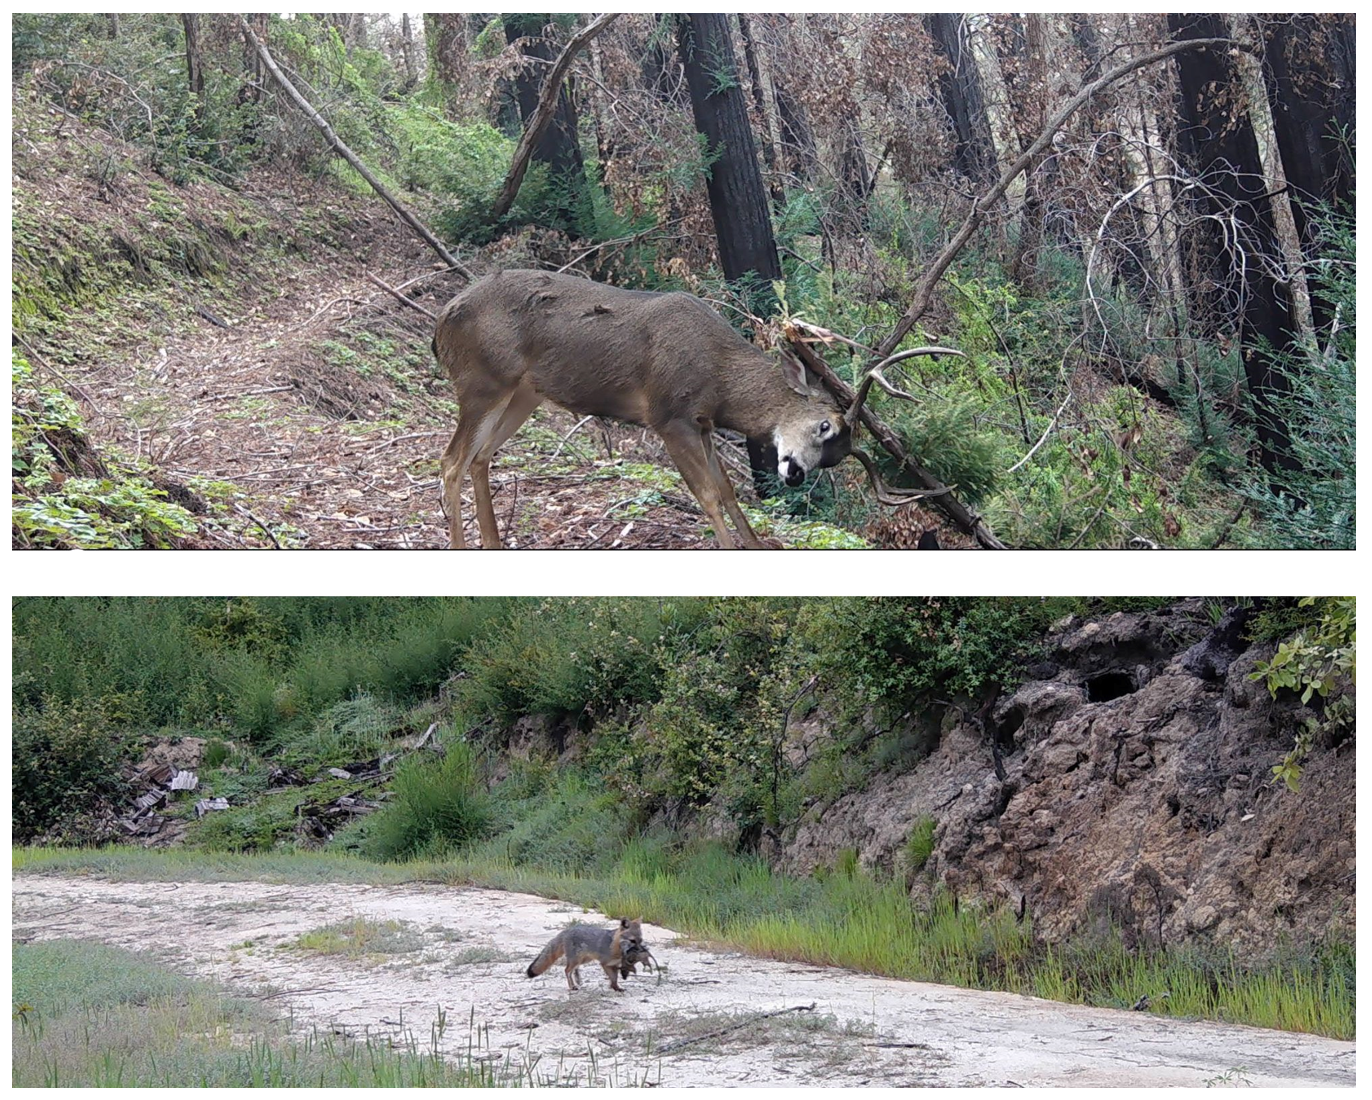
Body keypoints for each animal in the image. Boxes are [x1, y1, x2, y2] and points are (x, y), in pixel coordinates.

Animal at [428, 267, 954, 545]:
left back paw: (493, 544)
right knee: (451, 459)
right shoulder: (669, 415)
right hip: (482, 381)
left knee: (479, 457)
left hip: (523, 393)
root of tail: (442, 318)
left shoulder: (701, 423)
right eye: (825, 426)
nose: (795, 473)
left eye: (835, 459)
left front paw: (757, 548)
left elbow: (727, 490)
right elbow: (706, 495)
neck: (718, 380)